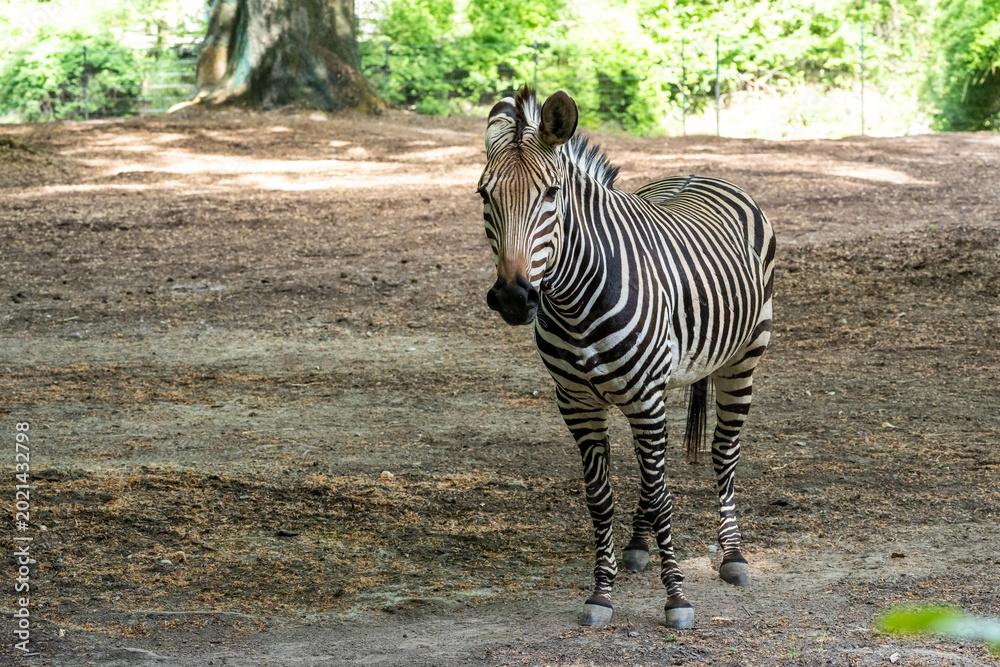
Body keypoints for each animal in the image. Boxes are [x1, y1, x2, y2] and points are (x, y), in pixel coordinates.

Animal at [476, 87, 775, 629]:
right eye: (484, 195)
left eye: (550, 193)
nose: (512, 297)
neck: (574, 301)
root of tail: (702, 173)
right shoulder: (577, 404)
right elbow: (601, 498)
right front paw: (601, 592)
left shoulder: (644, 396)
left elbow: (662, 495)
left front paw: (676, 598)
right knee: (654, 467)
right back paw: (639, 545)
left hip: (744, 358)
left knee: (723, 451)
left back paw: (733, 556)